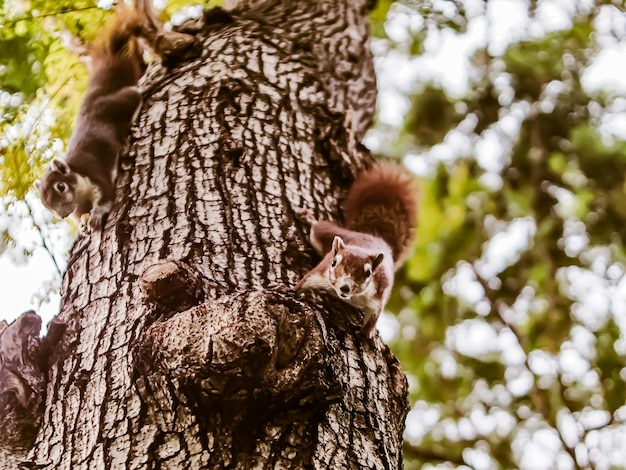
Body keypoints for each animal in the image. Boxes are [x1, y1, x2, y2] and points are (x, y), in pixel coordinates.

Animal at [35, 7, 145, 231]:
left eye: (60, 186)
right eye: (44, 203)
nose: (63, 215)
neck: (80, 193)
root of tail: (96, 94)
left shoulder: (95, 173)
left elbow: (106, 195)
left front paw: (96, 214)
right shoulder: (78, 205)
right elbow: (80, 213)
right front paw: (85, 219)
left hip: (118, 105)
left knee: (134, 95)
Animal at [294, 162, 420, 338]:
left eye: (369, 273)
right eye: (334, 262)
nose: (345, 287)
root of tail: (375, 236)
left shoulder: (378, 297)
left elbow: (373, 319)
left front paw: (367, 336)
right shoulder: (321, 273)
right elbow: (304, 281)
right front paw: (286, 289)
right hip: (324, 234)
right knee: (318, 227)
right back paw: (307, 217)